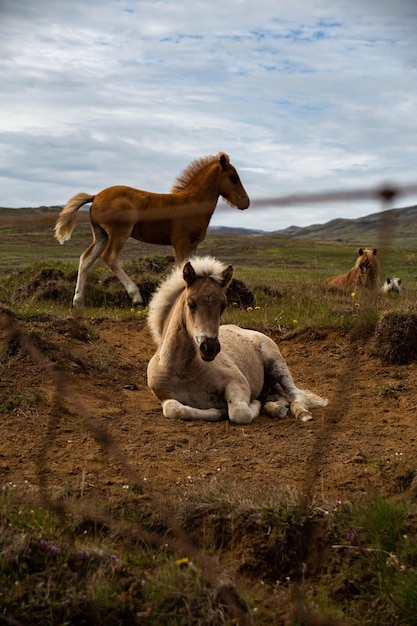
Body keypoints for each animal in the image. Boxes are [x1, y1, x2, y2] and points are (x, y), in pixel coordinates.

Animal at [53, 152, 249, 308]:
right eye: (233, 177)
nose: (245, 202)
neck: (192, 204)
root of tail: (95, 197)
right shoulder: (180, 242)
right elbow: (181, 268)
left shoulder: (193, 245)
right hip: (120, 231)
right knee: (110, 257)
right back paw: (136, 297)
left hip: (101, 234)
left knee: (86, 259)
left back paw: (78, 301)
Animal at [147, 255, 328, 424]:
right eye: (191, 303)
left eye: (223, 306)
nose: (210, 347)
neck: (183, 371)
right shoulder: (165, 398)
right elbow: (174, 409)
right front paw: (219, 410)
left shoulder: (238, 383)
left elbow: (239, 412)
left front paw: (248, 406)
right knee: (280, 397)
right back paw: (276, 409)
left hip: (276, 363)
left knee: (294, 394)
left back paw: (302, 413)